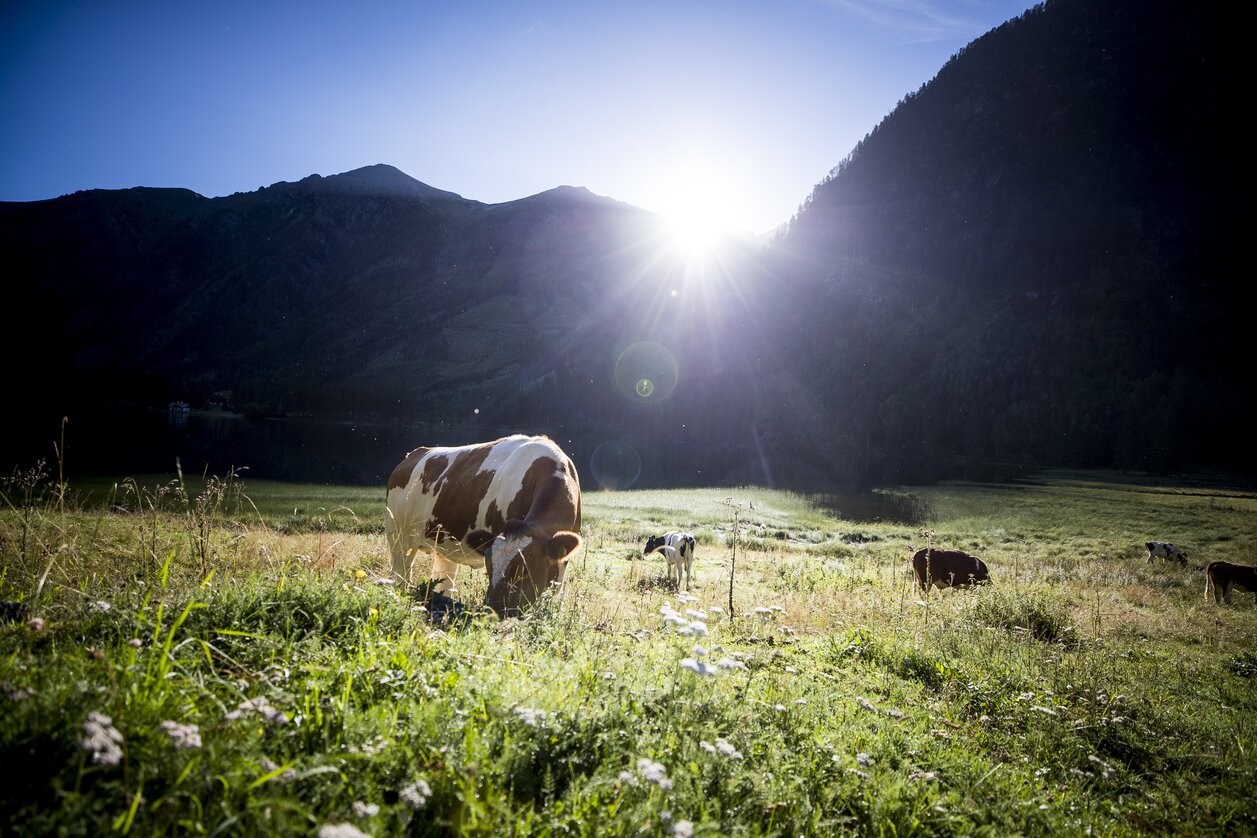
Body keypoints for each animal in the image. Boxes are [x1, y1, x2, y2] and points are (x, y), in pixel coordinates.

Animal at [385, 434, 582, 617]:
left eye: (524, 570)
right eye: (489, 567)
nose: (493, 611)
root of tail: (414, 454)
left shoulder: (562, 559)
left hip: (441, 547)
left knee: (443, 580)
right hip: (399, 539)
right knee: (399, 576)